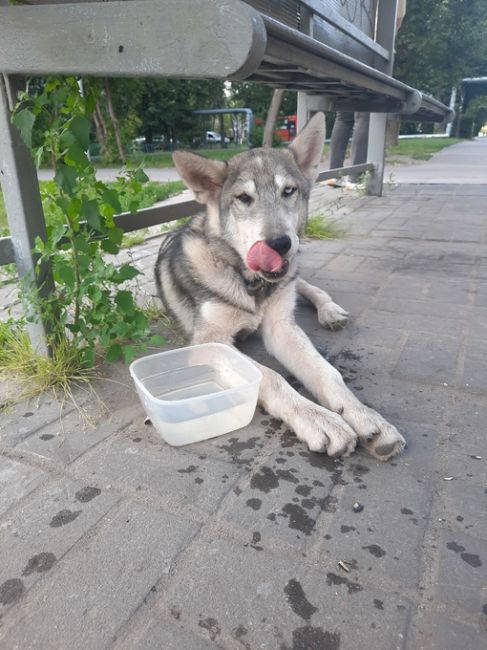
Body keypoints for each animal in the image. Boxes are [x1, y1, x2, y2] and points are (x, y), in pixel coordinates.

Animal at [154, 114, 406, 458]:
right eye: (244, 198)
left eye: (289, 190)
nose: (279, 244)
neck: (250, 285)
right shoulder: (209, 341)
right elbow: (269, 376)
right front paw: (319, 419)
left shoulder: (281, 327)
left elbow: (327, 372)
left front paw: (362, 414)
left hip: (294, 277)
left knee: (310, 288)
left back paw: (330, 311)